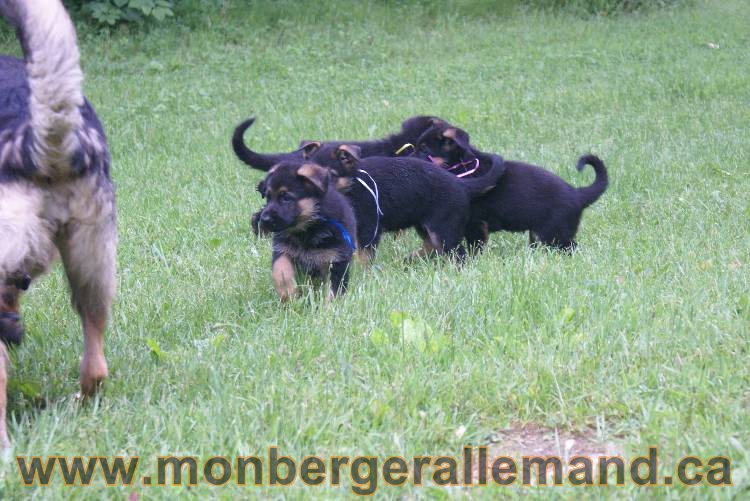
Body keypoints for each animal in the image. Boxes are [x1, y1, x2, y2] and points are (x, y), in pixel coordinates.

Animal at [258, 162, 358, 298]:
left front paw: (330, 303)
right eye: (268, 198)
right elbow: (280, 271)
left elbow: (334, 289)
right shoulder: (283, 250)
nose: (264, 219)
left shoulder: (336, 259)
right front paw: (288, 293)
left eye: (286, 198)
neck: (307, 229)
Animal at [328, 144, 506, 262]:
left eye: (330, 175)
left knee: (458, 255)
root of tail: (461, 184)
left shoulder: (370, 227)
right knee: (432, 247)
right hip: (426, 226)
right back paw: (409, 261)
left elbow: (365, 257)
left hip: (444, 229)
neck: (353, 180)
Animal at [414, 121, 608, 250]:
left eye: (424, 150)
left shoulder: (475, 224)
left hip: (555, 233)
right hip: (540, 233)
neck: (464, 166)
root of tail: (577, 194)